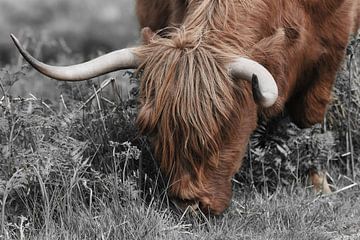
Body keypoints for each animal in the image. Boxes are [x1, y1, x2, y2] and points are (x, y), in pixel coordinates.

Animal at [11, 0, 360, 214]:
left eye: (224, 127)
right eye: (151, 127)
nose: (189, 206)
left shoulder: (331, 46)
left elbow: (309, 120)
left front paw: (320, 186)